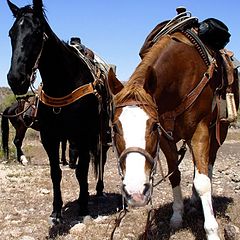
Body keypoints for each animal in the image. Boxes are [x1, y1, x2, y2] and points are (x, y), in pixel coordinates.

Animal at [6, 0, 111, 222]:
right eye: (11, 33)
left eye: (37, 32)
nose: (16, 79)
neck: (64, 82)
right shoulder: (50, 137)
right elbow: (56, 172)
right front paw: (56, 210)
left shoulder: (82, 135)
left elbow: (82, 171)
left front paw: (83, 207)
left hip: (101, 133)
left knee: (101, 159)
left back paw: (98, 189)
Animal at [108, 22, 238, 240]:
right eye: (115, 127)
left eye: (153, 125)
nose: (136, 192)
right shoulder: (166, 138)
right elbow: (174, 174)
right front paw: (177, 216)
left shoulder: (200, 131)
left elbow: (203, 182)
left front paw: (212, 231)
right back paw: (192, 201)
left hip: (219, 130)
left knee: (209, 165)